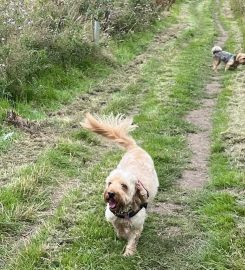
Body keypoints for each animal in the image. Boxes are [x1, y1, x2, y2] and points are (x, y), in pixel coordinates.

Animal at [81, 113, 159, 256]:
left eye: (124, 186)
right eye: (109, 183)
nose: (110, 193)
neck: (123, 210)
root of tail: (135, 147)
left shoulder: (137, 225)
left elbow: (133, 239)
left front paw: (129, 253)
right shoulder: (113, 218)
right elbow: (119, 229)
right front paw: (122, 235)